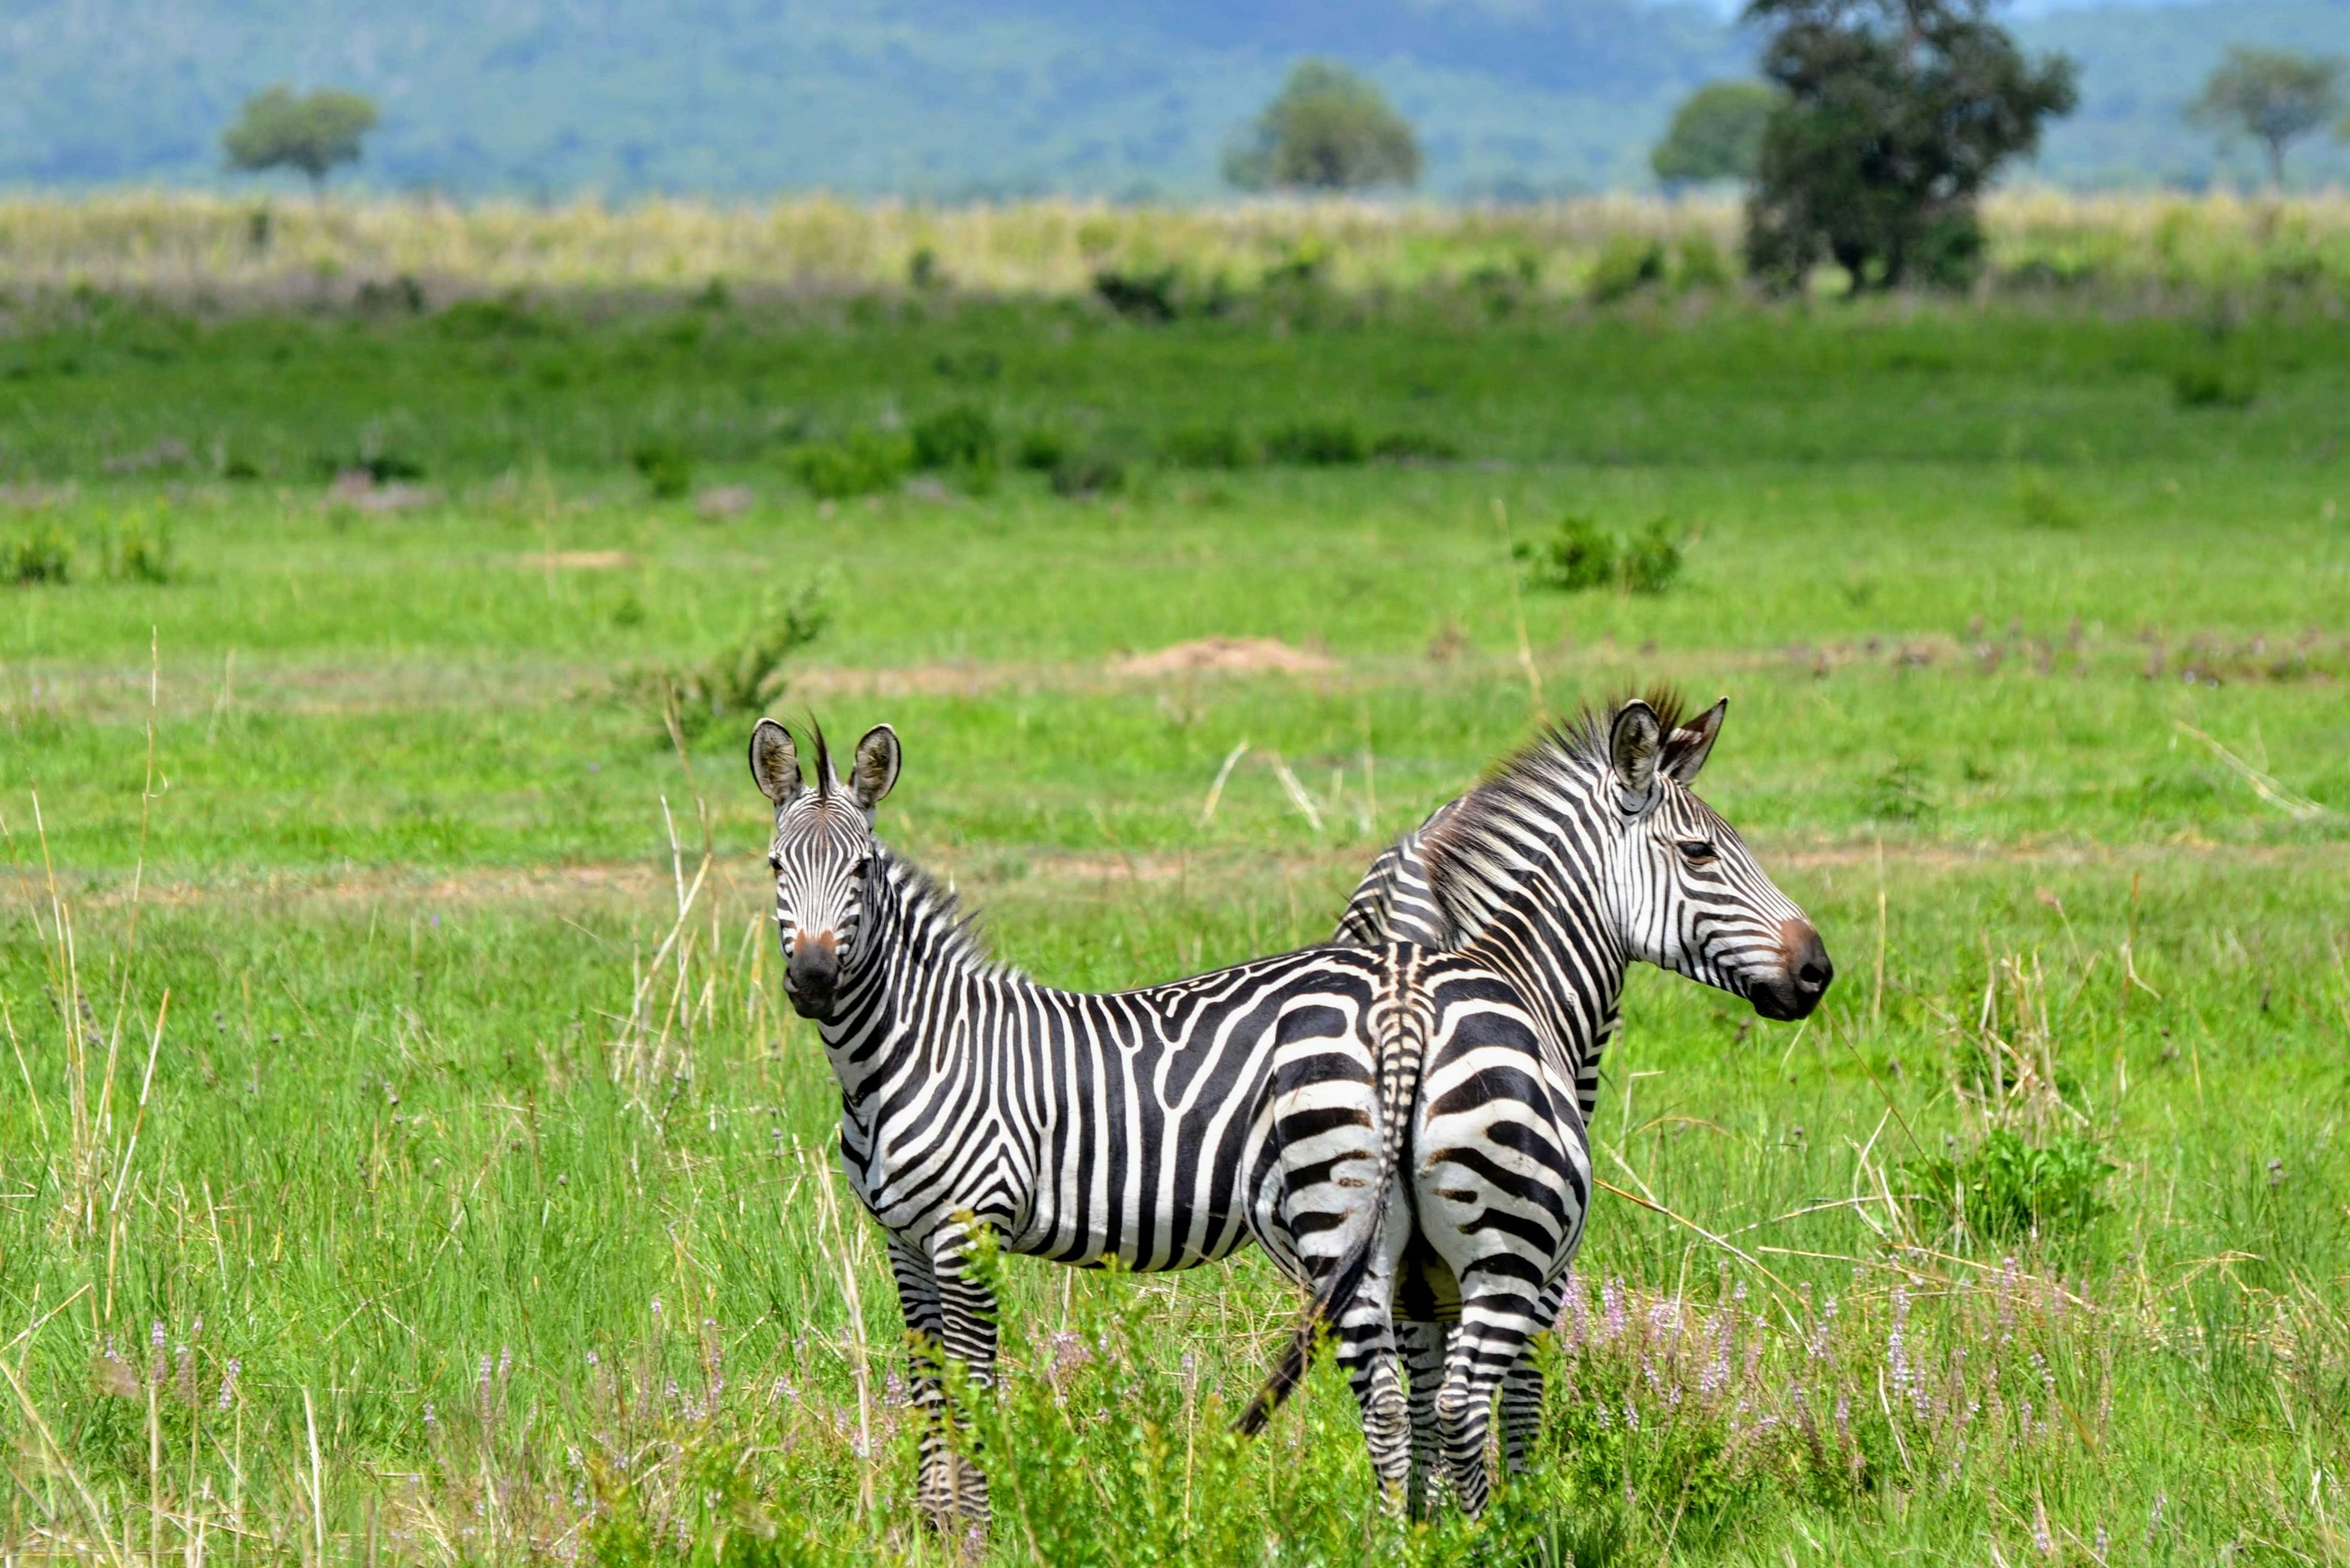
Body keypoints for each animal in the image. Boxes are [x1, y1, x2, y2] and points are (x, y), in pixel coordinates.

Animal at [747, 717, 1588, 1528]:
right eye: (776, 868)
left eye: (862, 871)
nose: (814, 983)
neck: (912, 1050)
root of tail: (1401, 973)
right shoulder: (906, 1239)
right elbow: (930, 1384)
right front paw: (933, 1527)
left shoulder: (969, 1230)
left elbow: (975, 1386)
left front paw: (977, 1532)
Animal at [1314, 691, 1833, 1509]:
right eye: (1699, 853)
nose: (1819, 971)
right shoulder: (1544, 1256)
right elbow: (1522, 1385)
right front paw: (1515, 1505)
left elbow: (1428, 1386)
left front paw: (1433, 1513)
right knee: (1461, 1393)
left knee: (1398, 1395)